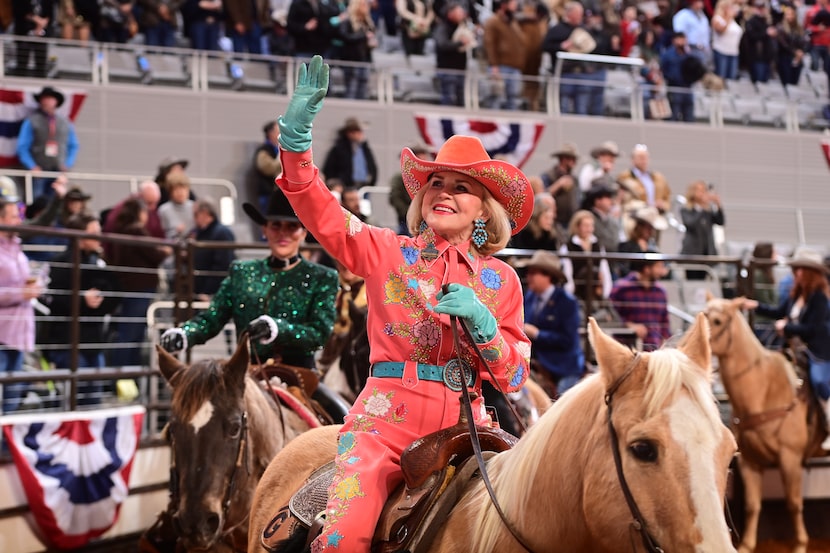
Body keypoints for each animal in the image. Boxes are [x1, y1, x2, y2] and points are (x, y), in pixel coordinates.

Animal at [704, 296, 828, 552]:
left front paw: (800, 544)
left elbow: (793, 503)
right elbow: (753, 505)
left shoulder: (790, 458)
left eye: (718, 321)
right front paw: (747, 545)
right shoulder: (749, 462)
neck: (765, 391)